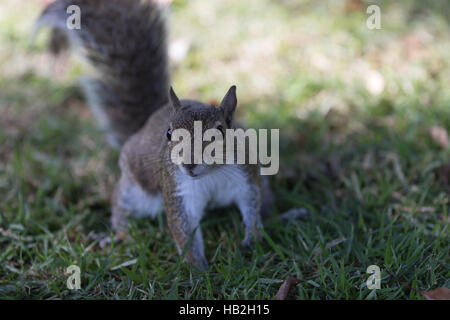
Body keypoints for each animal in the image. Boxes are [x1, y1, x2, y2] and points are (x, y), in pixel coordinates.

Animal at [36, 0, 306, 270]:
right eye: (168, 133)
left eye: (220, 131)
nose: (189, 164)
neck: (211, 175)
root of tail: (144, 124)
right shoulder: (178, 190)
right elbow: (183, 229)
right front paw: (200, 270)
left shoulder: (246, 175)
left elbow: (252, 204)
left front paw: (253, 237)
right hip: (136, 189)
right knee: (120, 203)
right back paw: (120, 234)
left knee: (266, 201)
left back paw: (286, 217)